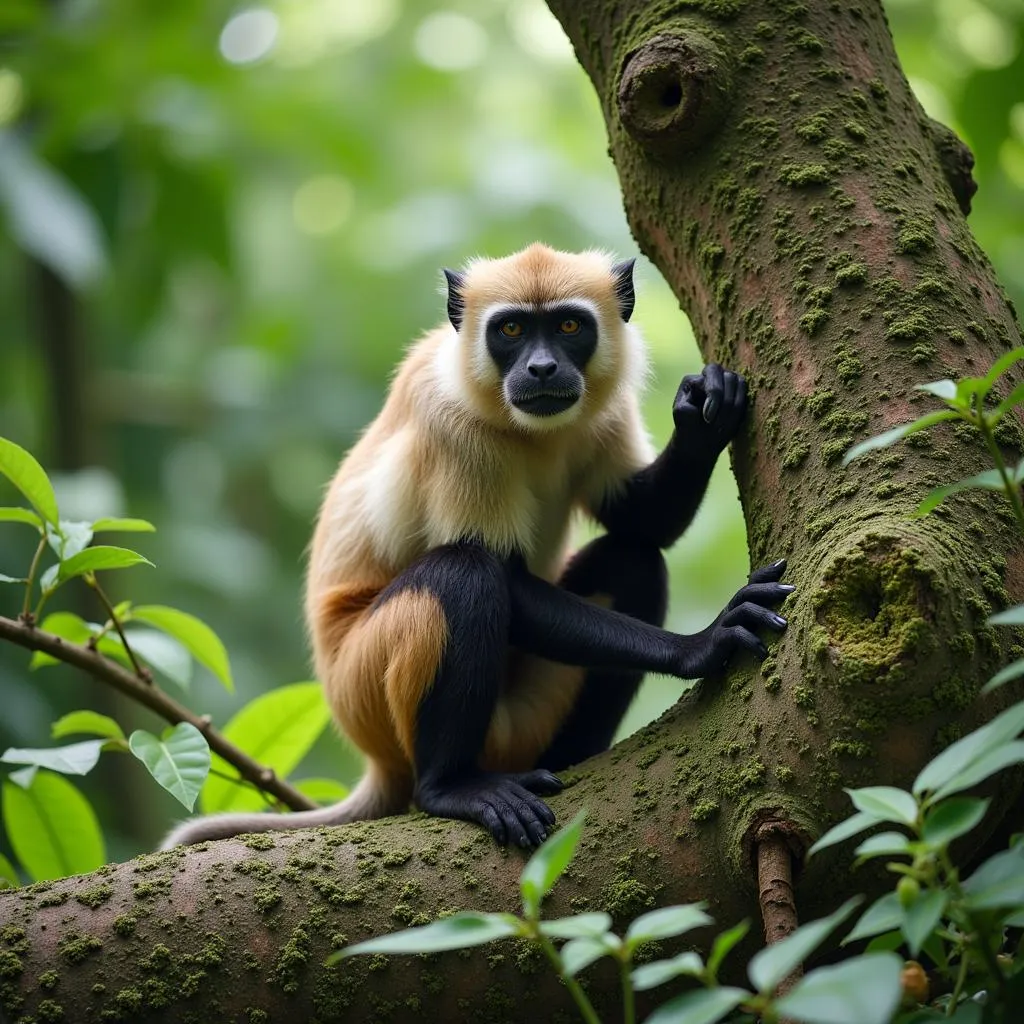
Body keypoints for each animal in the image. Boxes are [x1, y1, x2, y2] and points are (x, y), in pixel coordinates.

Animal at [163, 243, 794, 851]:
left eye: (569, 326)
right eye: (511, 330)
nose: (542, 368)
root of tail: (378, 764)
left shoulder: (605, 408)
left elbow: (640, 522)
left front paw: (705, 414)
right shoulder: (452, 424)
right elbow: (505, 577)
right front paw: (701, 644)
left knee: (631, 561)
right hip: (371, 693)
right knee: (463, 573)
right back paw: (452, 788)